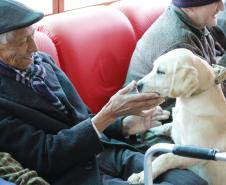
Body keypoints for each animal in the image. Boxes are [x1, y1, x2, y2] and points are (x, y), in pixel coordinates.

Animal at [128, 48, 226, 185]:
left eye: (161, 72)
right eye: (153, 68)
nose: (138, 85)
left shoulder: (195, 153)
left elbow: (165, 157)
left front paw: (142, 174)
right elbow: (166, 127)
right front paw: (152, 127)